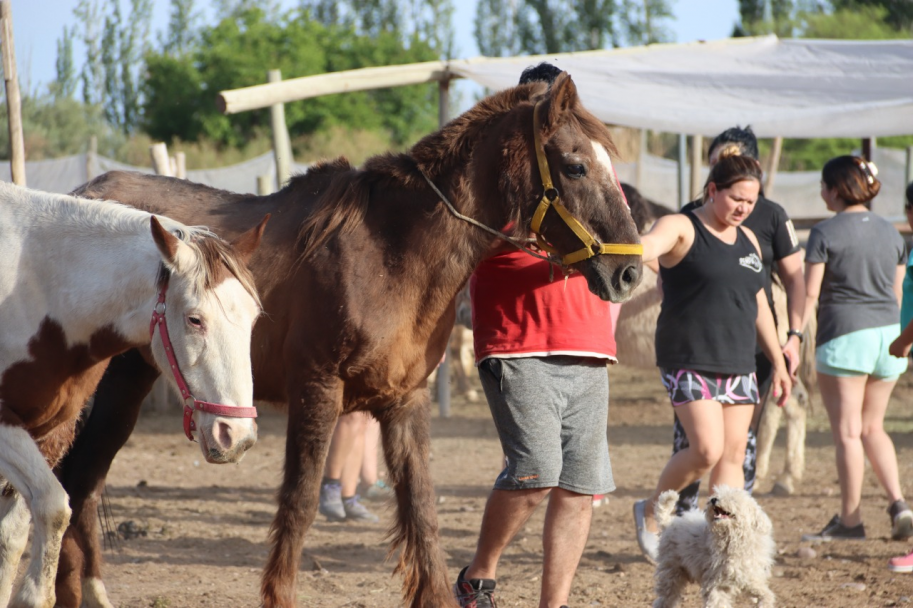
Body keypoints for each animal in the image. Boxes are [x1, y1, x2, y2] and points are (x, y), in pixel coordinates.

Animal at [0, 180, 264, 608]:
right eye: (194, 319)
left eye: (254, 318)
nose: (235, 436)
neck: (36, 290)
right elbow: (55, 508)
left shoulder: (47, 432)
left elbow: (14, 533)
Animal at [53, 76, 636, 608]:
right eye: (577, 166)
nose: (628, 271)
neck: (392, 251)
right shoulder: (317, 388)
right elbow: (301, 502)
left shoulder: (405, 401)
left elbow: (421, 511)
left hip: (128, 381)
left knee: (83, 483)